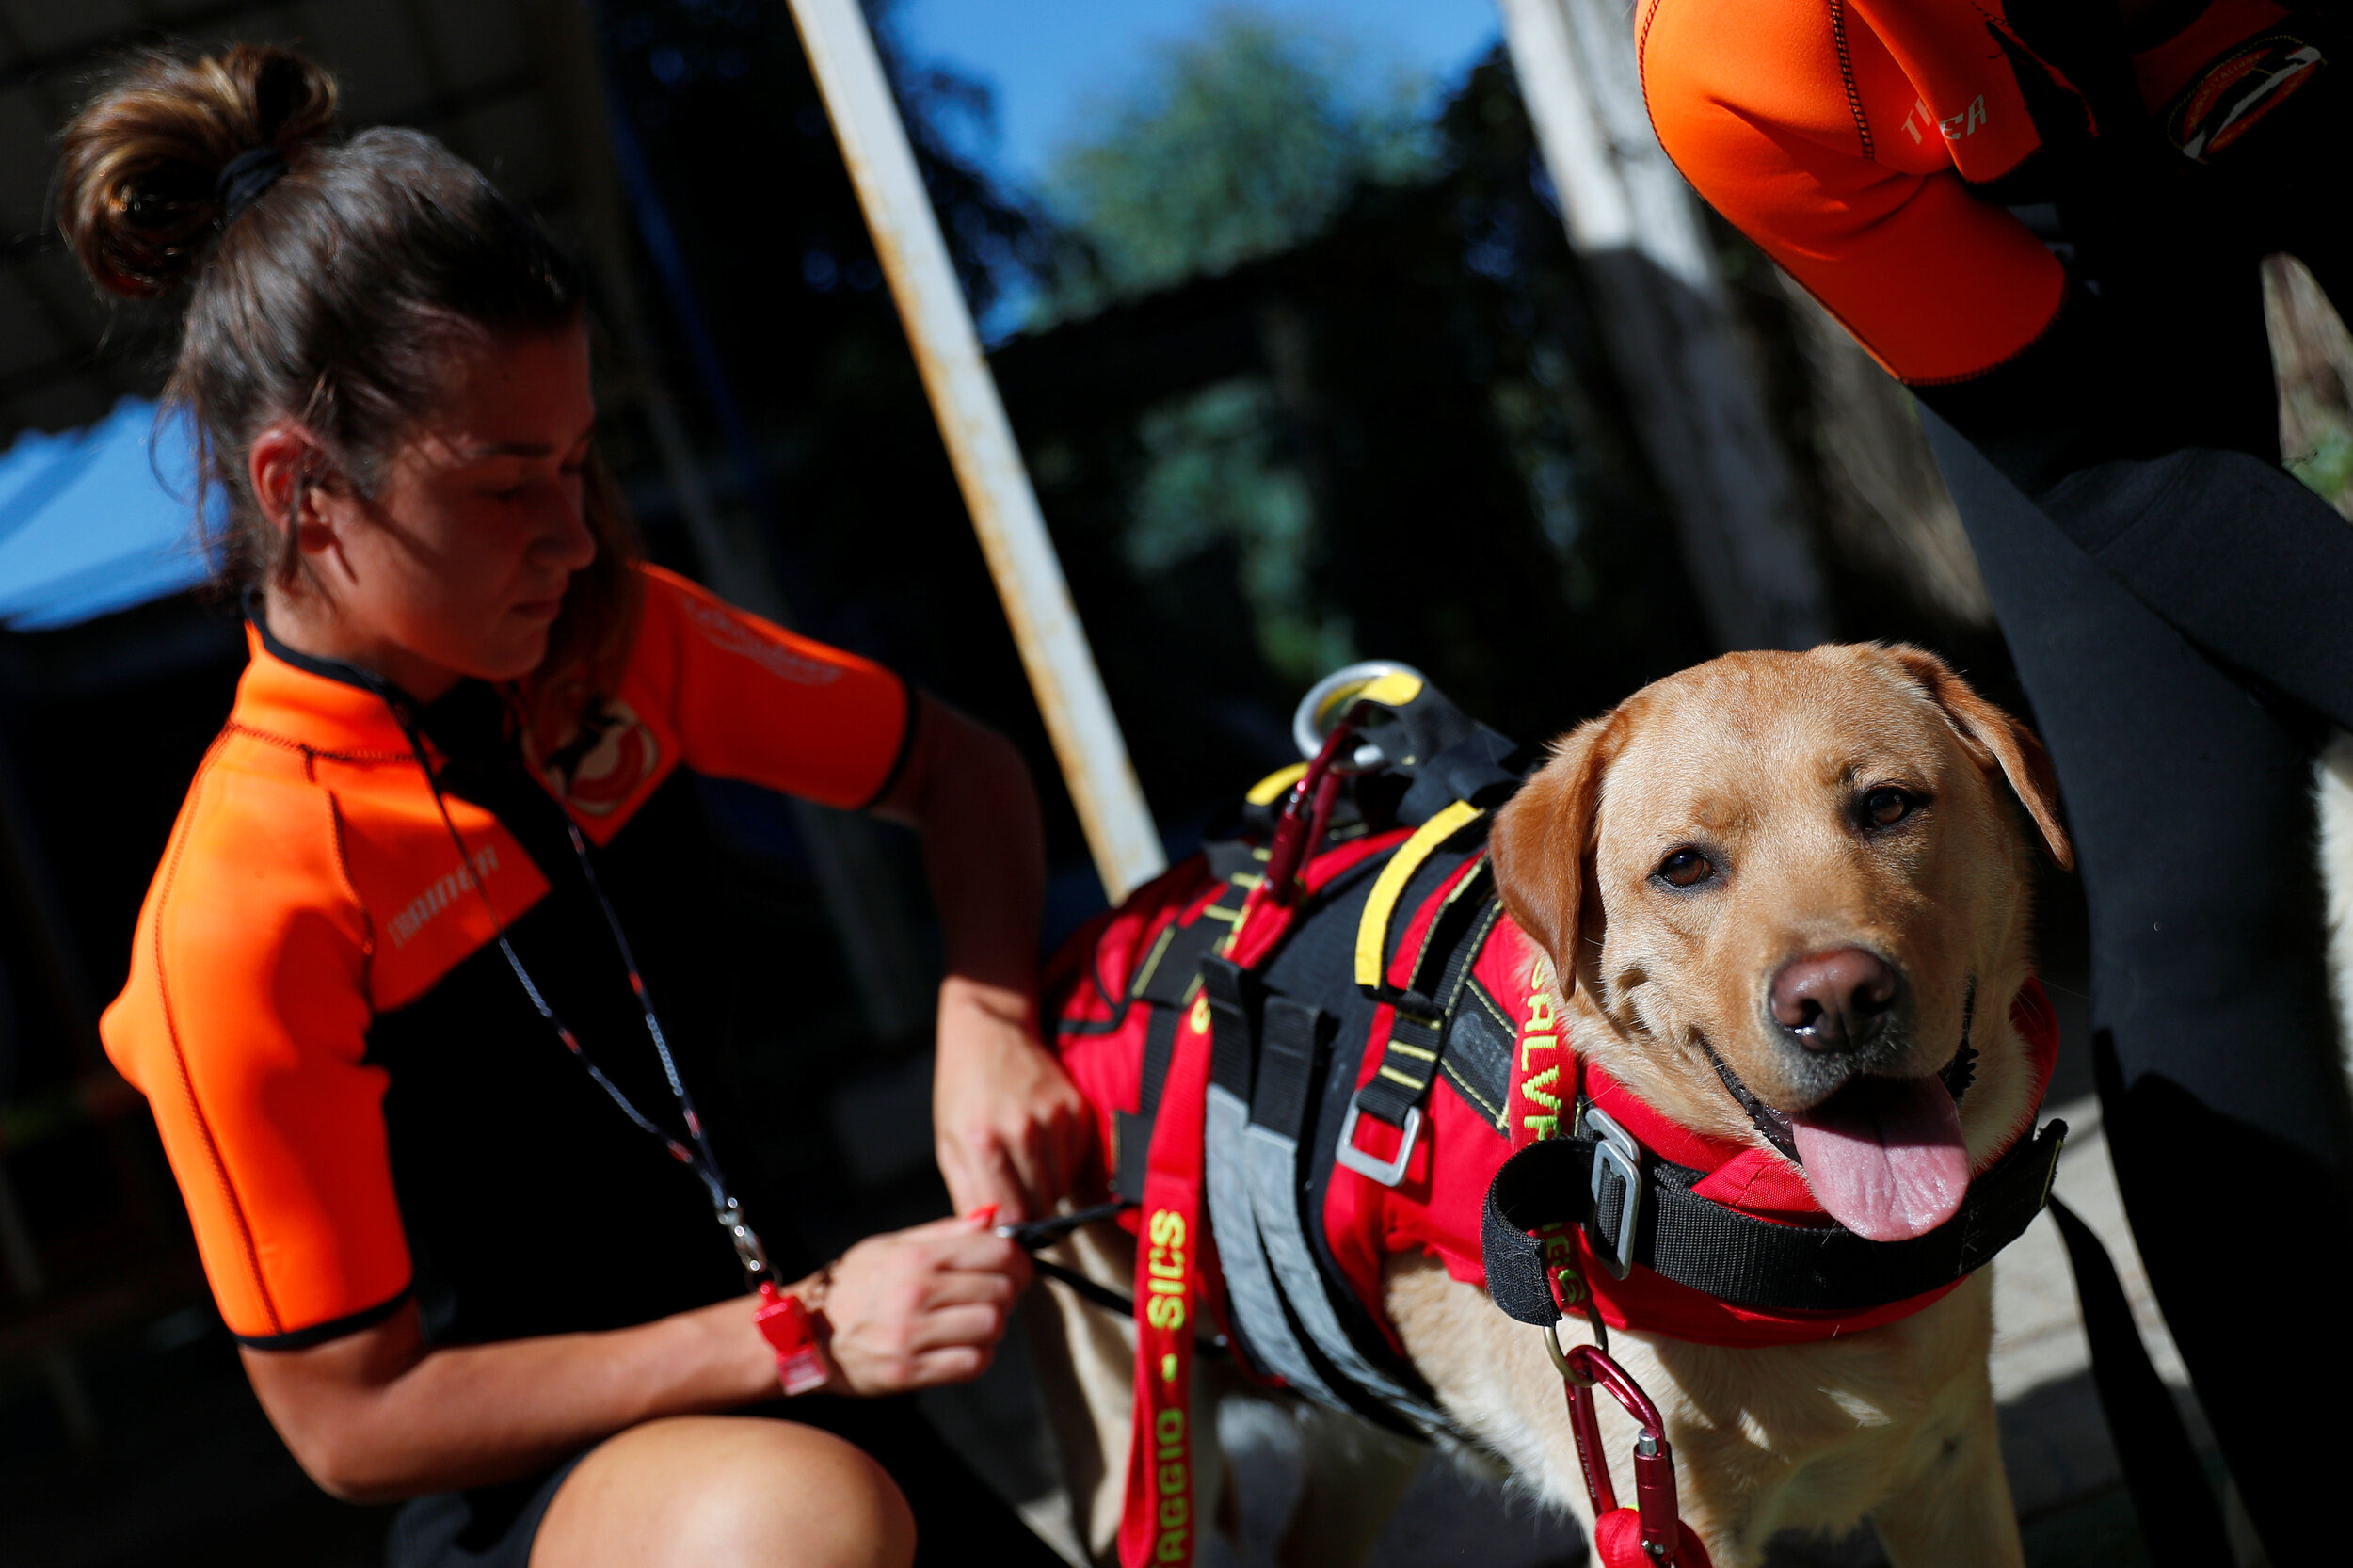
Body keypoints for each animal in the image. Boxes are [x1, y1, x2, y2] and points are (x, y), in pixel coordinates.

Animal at [1040, 640, 2071, 1562]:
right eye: (1685, 866)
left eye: (1887, 804)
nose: (1837, 1000)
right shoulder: (1665, 1519)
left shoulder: (1950, 1472)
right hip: (1130, 1427)